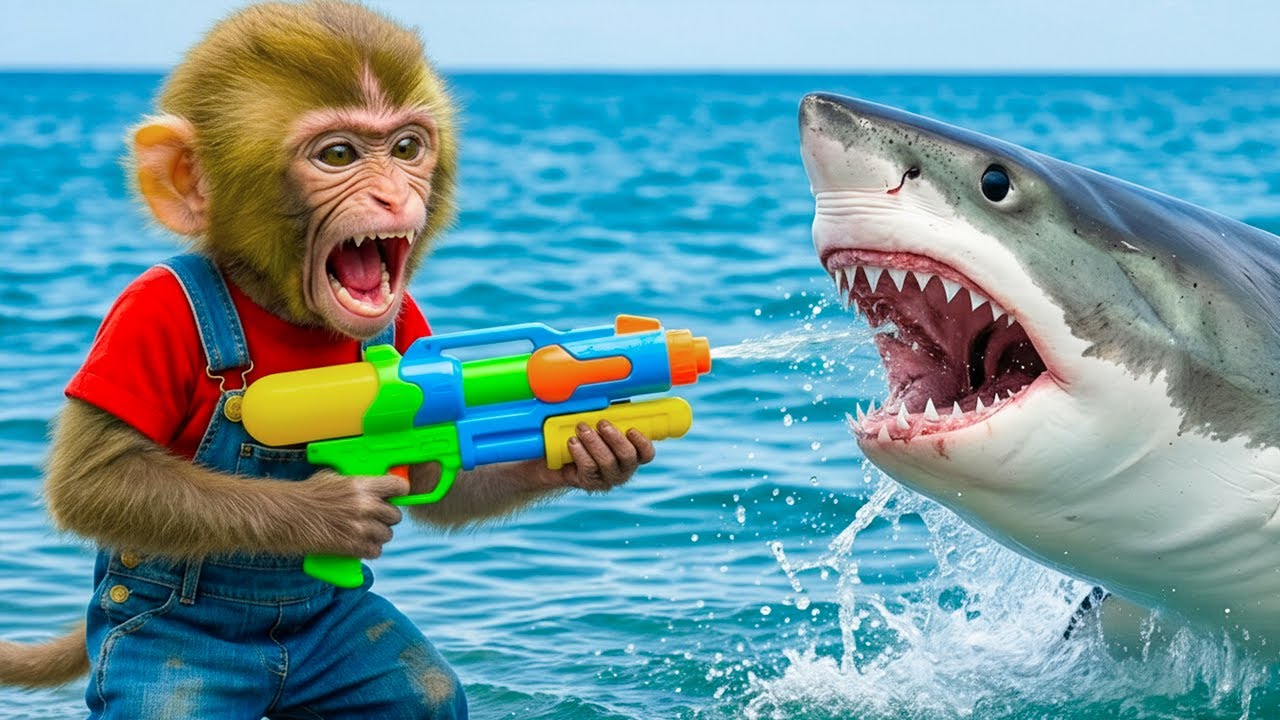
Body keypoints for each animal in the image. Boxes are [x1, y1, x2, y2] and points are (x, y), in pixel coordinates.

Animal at [0, 2, 655, 717]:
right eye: (337, 155)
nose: (394, 197)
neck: (284, 314)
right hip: (151, 638)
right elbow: (93, 479)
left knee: (421, 688)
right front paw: (334, 513)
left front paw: (595, 446)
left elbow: (440, 480)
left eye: (407, 149)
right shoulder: (145, 319)